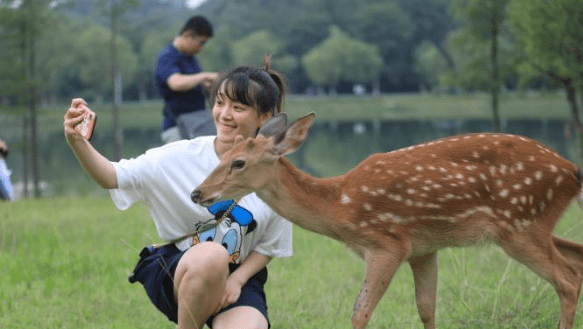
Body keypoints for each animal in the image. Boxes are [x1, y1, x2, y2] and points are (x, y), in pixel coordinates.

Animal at [194, 113, 583, 328]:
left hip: (519, 223)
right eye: (222, 155)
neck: (341, 207)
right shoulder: (424, 248)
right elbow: (426, 308)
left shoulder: (388, 242)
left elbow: (359, 311)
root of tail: (572, 172)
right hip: (534, 225)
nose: (198, 193)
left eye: (239, 162)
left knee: (567, 279)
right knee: (576, 259)